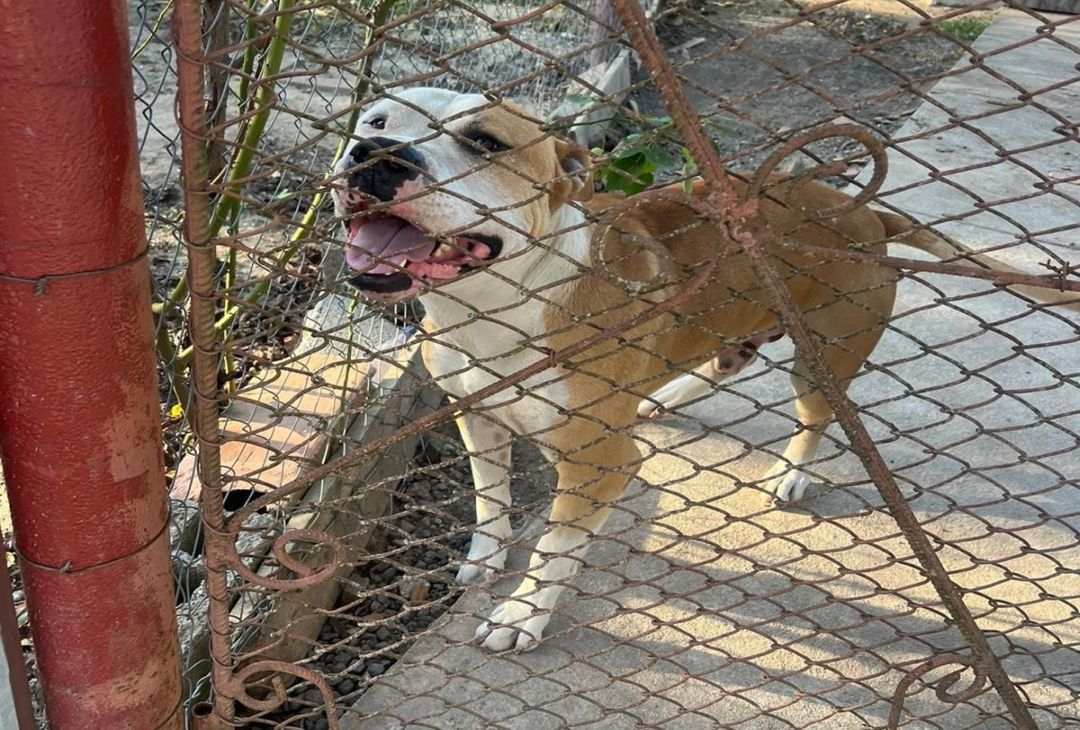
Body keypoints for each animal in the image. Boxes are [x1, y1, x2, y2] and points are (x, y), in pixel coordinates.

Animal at [331, 87, 1078, 652]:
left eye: (486, 142)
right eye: (374, 121)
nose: (373, 157)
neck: (495, 305)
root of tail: (865, 212)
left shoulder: (599, 461)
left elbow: (554, 548)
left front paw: (521, 614)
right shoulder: (477, 414)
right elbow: (492, 498)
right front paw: (485, 559)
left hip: (824, 355)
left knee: (816, 414)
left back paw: (791, 472)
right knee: (728, 358)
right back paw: (666, 395)